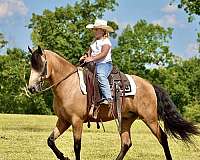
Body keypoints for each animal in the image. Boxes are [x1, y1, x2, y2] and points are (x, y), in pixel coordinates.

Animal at [27, 45, 199, 159]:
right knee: (126, 143)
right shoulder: (63, 120)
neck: (69, 85)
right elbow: (50, 141)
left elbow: (77, 147)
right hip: (127, 119)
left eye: (41, 65)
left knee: (162, 138)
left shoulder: (76, 121)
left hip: (150, 118)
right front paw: (63, 156)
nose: (31, 88)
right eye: (31, 66)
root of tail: (150, 85)